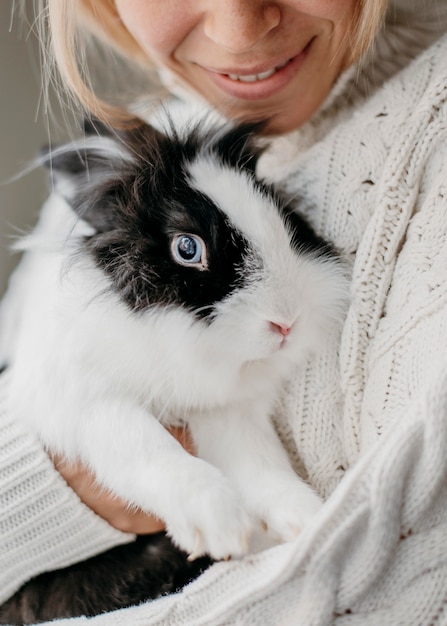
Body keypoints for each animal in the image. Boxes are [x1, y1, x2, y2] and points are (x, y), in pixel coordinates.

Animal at [0, 113, 350, 620]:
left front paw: (308, 518)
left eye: (285, 219)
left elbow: (262, 464)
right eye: (187, 248)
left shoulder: (227, 413)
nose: (286, 322)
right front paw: (219, 524)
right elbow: (149, 448)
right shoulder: (85, 401)